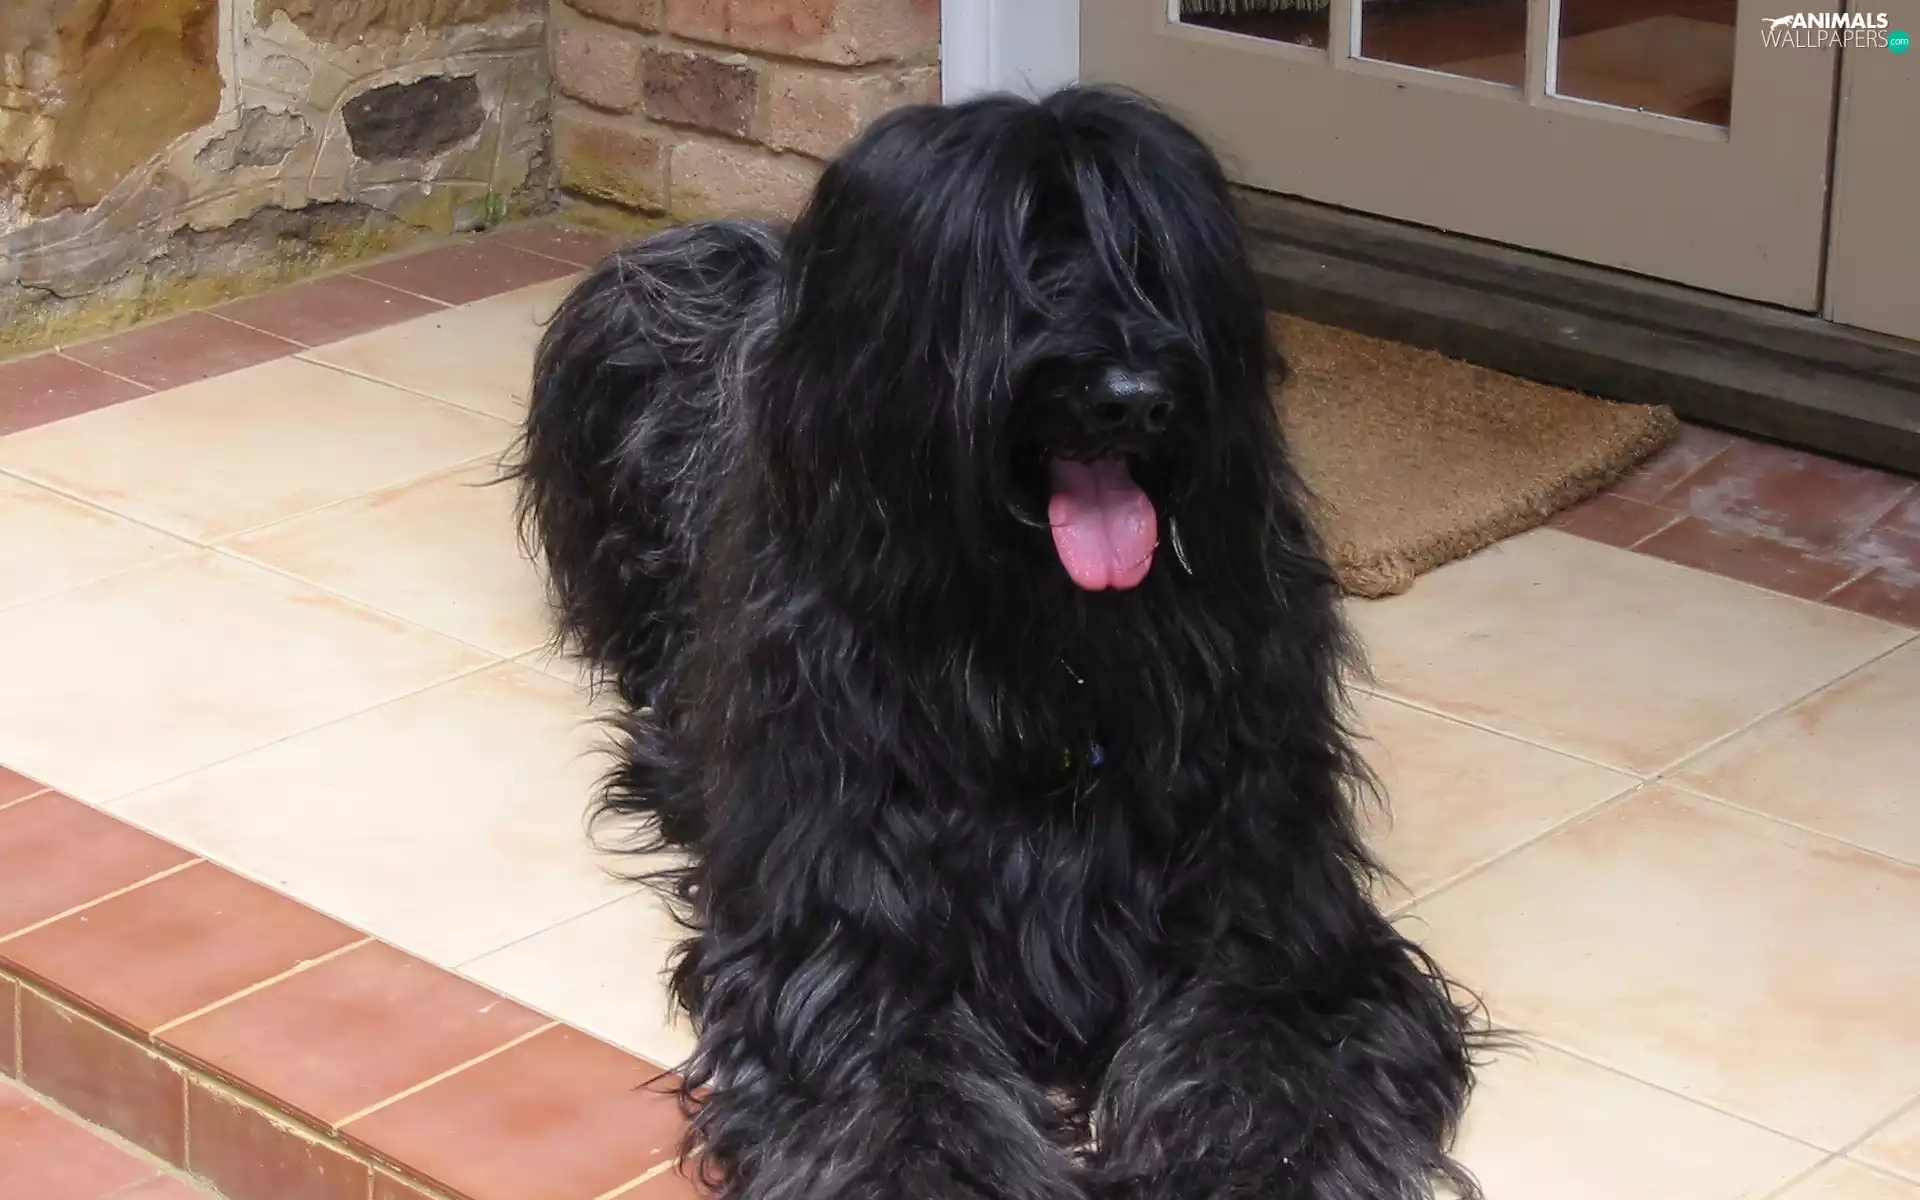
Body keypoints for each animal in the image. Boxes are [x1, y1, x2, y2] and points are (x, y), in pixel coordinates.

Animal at [512, 86, 1483, 1200]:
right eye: (1017, 257)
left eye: (1150, 251)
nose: (1137, 394)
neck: (1046, 651)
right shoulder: (855, 916)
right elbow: (898, 1077)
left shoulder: (1269, 903)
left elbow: (1266, 1053)